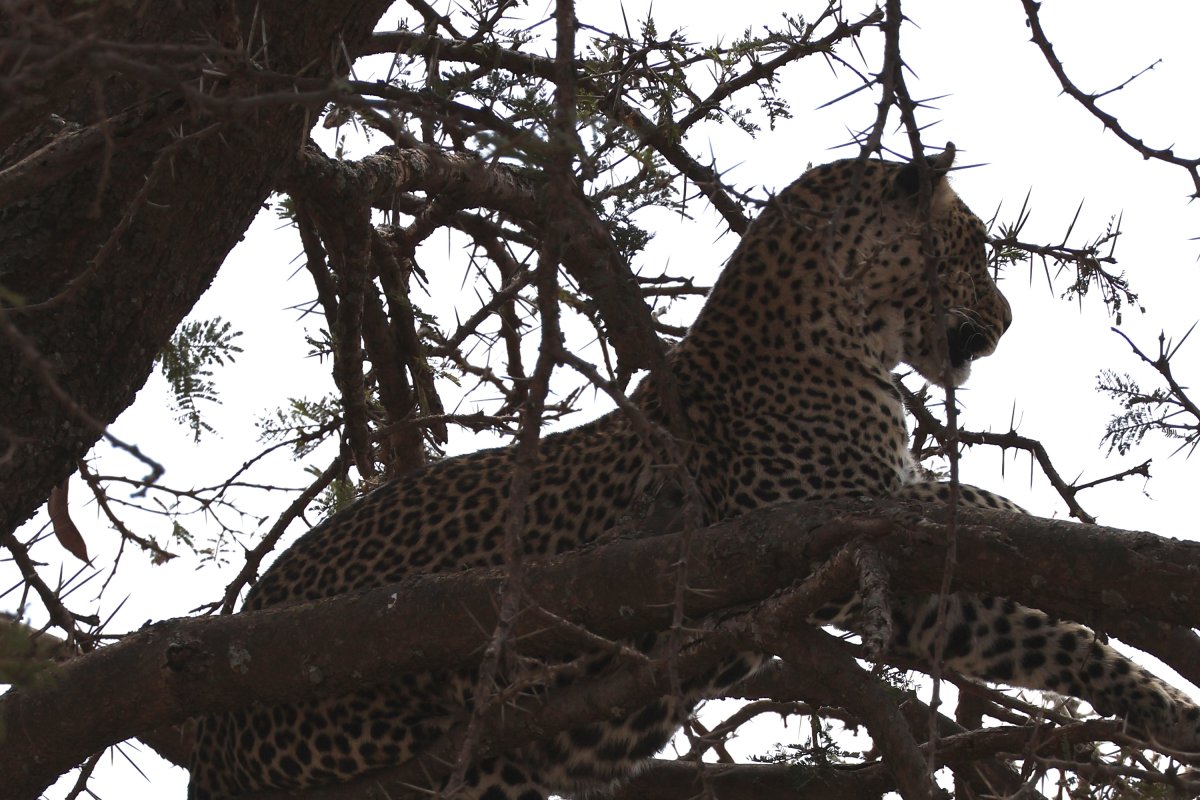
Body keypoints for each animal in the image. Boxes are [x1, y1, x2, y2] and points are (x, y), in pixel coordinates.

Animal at [188, 147, 1200, 799]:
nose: (1006, 319)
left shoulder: (896, 542)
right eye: (975, 247)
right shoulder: (830, 536)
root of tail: (208, 749)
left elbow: (1007, 571)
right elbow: (1010, 574)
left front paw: (1157, 686)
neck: (843, 340)